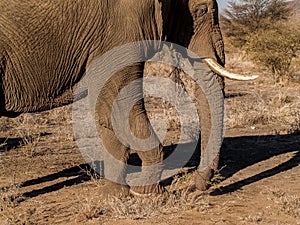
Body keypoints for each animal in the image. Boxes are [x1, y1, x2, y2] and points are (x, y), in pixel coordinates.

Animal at [0, 0, 258, 196]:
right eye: (201, 10)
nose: (199, 186)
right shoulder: (120, 27)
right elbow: (121, 109)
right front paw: (151, 195)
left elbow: (109, 114)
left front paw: (116, 197)